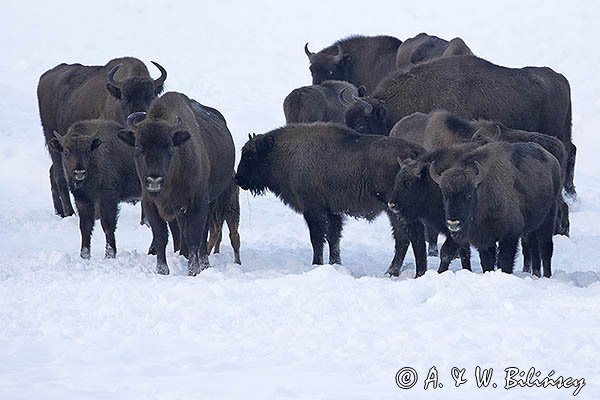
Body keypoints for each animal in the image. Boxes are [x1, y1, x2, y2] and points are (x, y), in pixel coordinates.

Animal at [38, 57, 167, 217]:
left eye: (151, 96)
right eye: (125, 98)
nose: (139, 118)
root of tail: (46, 76)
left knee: (53, 173)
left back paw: (60, 212)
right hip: (53, 143)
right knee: (60, 177)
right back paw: (70, 213)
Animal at [117, 92, 235, 275]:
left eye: (169, 146)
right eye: (138, 146)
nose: (154, 180)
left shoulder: (198, 202)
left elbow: (193, 235)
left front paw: (193, 270)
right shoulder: (150, 204)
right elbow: (161, 236)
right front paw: (162, 270)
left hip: (211, 201)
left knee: (203, 234)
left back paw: (204, 263)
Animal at [235, 123, 428, 277]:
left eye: (250, 155)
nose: (238, 179)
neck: (280, 152)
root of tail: (416, 152)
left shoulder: (313, 209)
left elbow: (317, 239)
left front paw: (316, 264)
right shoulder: (332, 211)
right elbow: (333, 238)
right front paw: (335, 264)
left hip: (397, 209)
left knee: (413, 236)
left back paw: (417, 273)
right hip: (391, 211)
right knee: (402, 238)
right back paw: (391, 272)